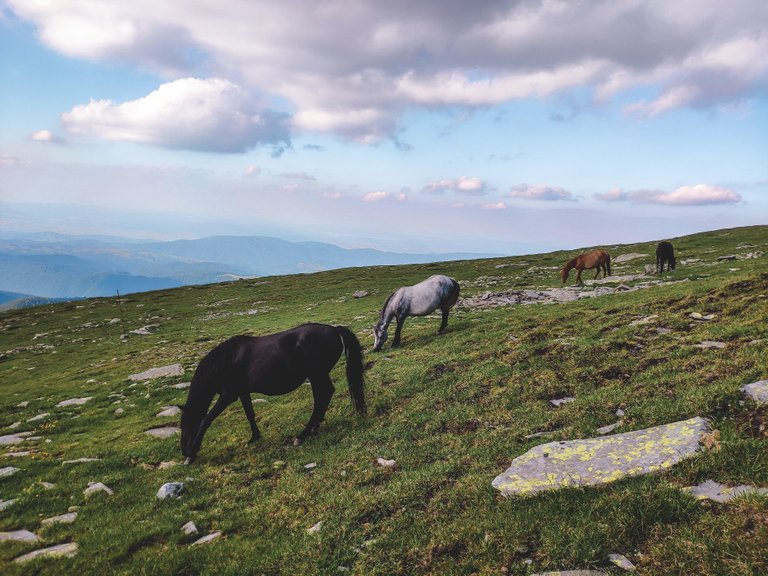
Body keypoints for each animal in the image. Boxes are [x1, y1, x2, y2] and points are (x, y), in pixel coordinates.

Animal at [183, 324, 368, 464]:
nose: (184, 451)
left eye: (186, 426)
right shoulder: (242, 392)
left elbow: (207, 420)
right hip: (317, 375)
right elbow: (250, 414)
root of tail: (335, 329)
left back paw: (303, 435)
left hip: (317, 374)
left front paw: (192, 454)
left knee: (324, 395)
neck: (227, 360)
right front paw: (255, 437)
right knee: (322, 396)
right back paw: (314, 427)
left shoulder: (229, 394)